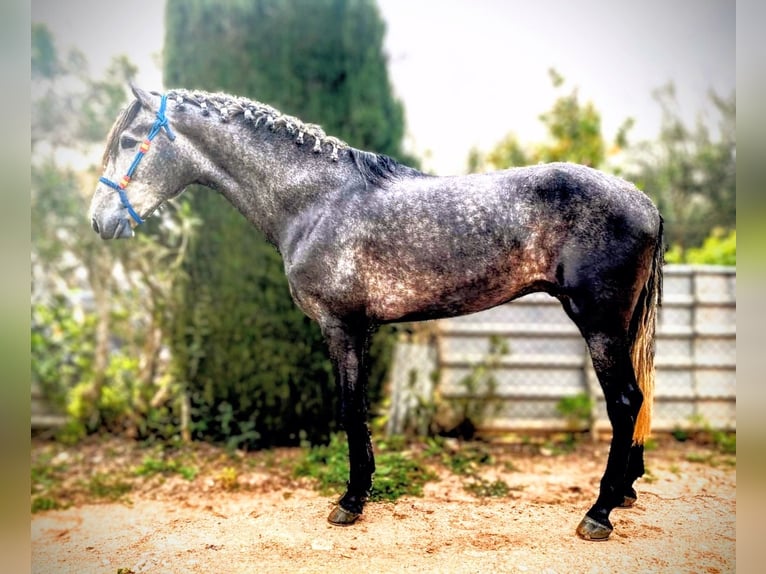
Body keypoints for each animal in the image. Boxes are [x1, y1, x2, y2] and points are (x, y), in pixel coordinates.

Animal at [89, 85, 663, 541]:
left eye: (127, 142)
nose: (99, 221)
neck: (316, 201)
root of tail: (644, 201)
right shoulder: (360, 330)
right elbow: (360, 407)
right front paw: (362, 489)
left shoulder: (340, 326)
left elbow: (349, 408)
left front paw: (349, 501)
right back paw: (625, 492)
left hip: (600, 325)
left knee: (624, 402)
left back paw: (599, 513)